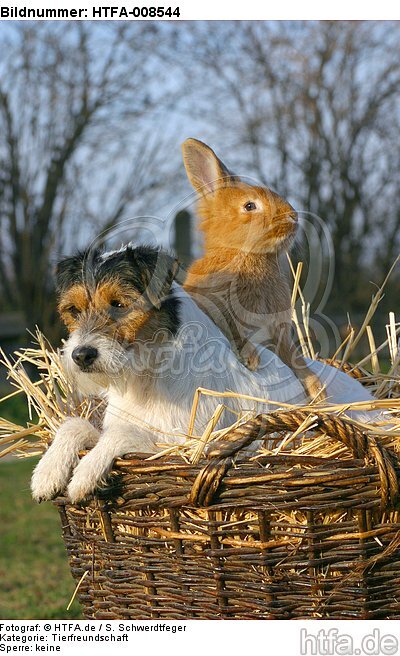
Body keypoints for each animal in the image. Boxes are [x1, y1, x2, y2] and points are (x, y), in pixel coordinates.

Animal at [31, 245, 378, 502]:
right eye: (73, 310)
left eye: (119, 304)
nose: (81, 355)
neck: (148, 376)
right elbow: (75, 425)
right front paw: (47, 472)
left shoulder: (183, 447)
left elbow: (122, 436)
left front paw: (84, 474)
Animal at [181, 138, 324, 402]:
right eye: (249, 206)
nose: (293, 217)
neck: (246, 254)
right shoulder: (216, 307)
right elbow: (233, 329)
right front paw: (251, 358)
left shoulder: (278, 331)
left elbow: (294, 358)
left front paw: (317, 389)